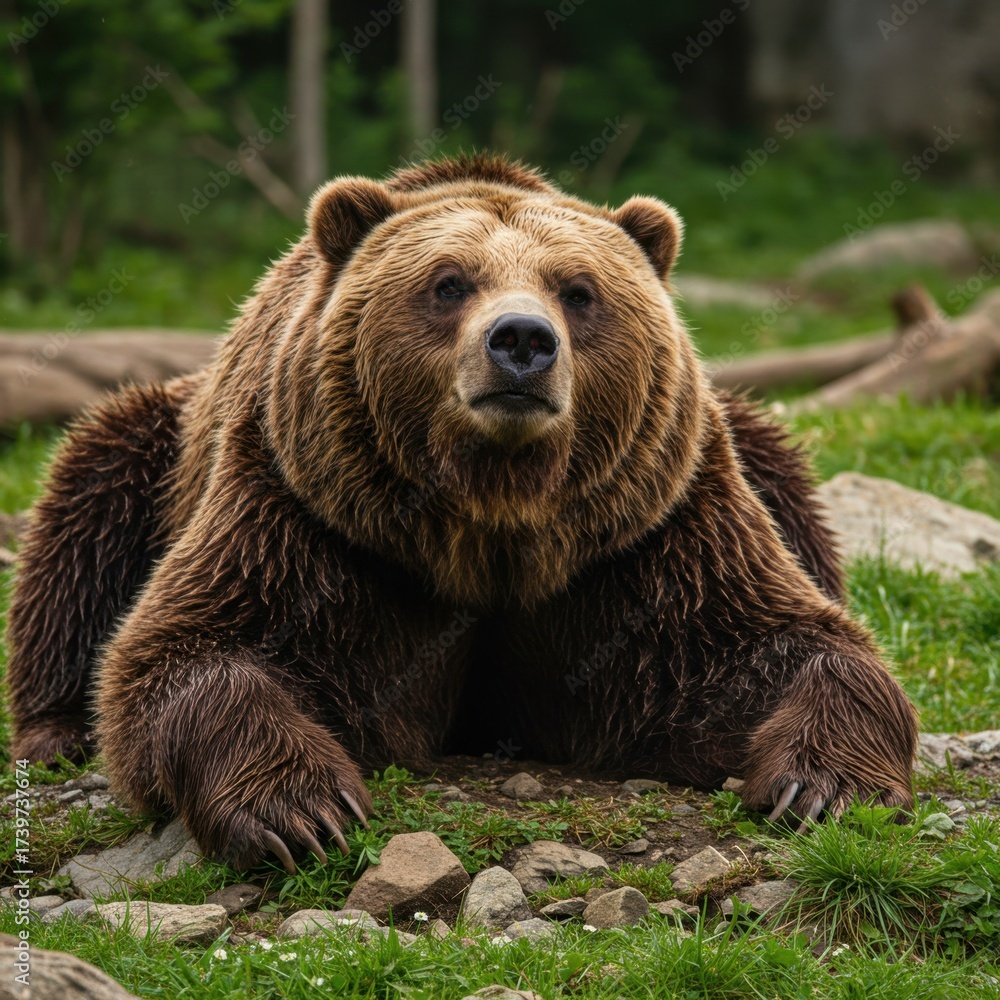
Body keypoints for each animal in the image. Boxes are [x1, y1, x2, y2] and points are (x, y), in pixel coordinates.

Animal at [6, 154, 917, 872]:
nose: (521, 341)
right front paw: (300, 810)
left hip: (750, 452)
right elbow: (189, 649)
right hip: (161, 445)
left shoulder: (648, 532)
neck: (493, 520)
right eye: (448, 283)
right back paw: (55, 732)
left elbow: (779, 643)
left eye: (578, 291)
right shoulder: (315, 515)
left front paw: (823, 785)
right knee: (89, 497)